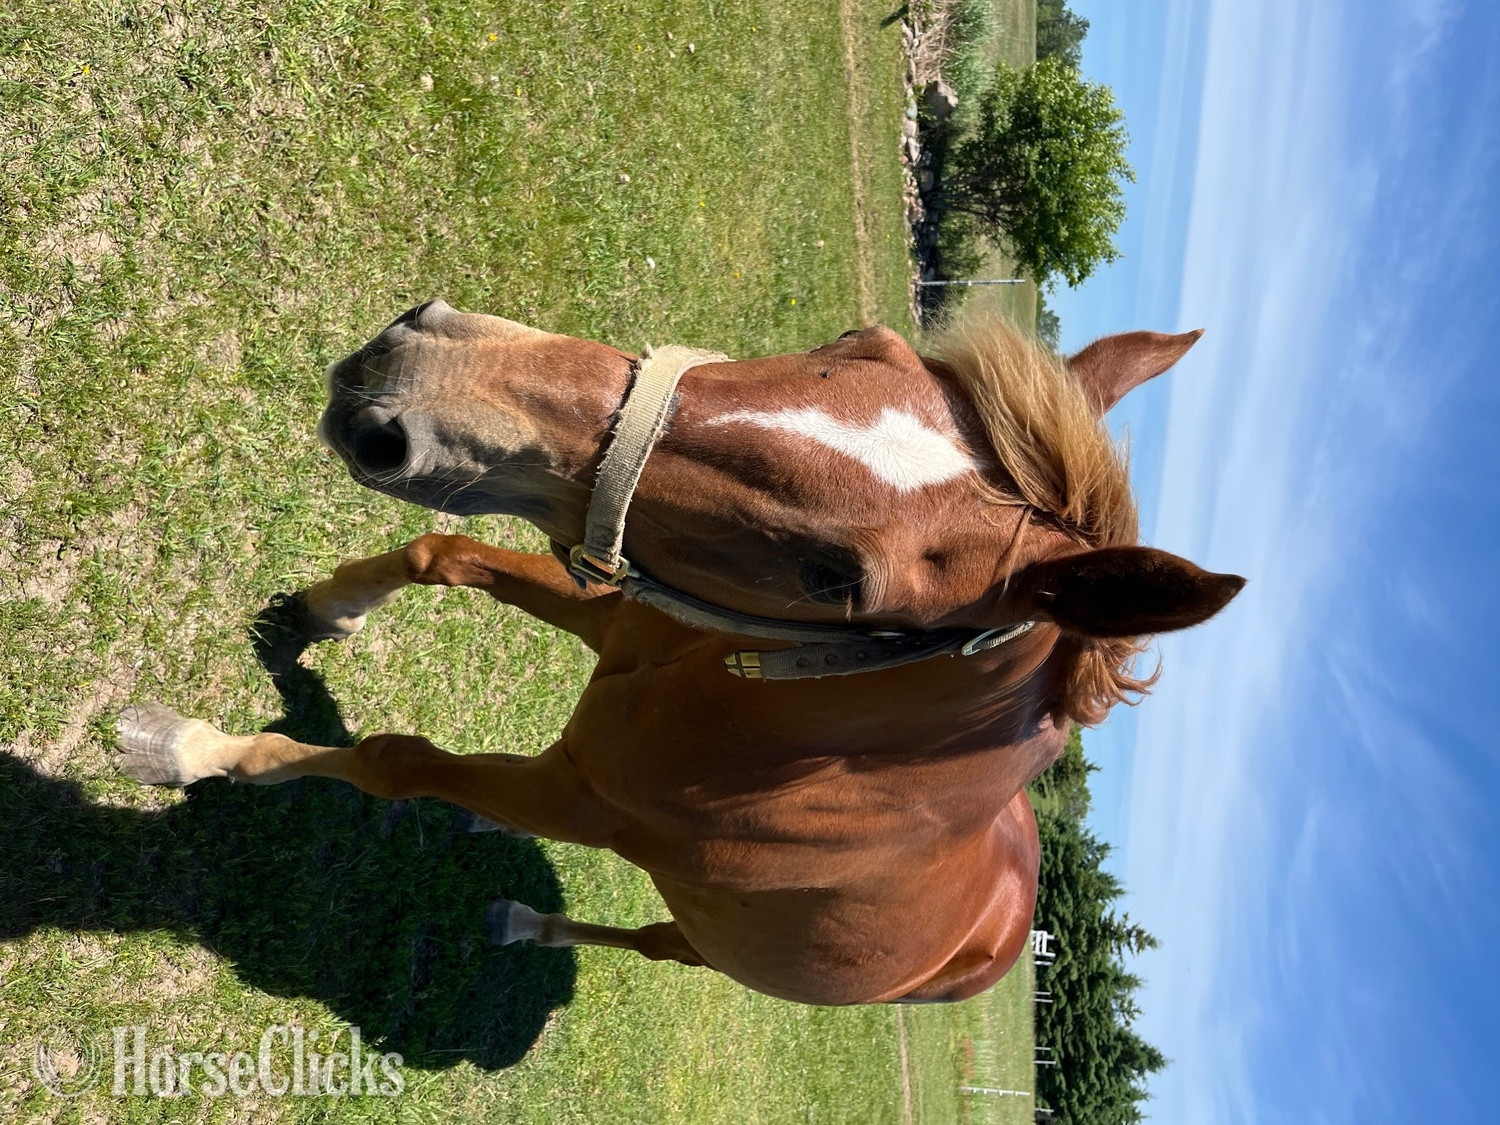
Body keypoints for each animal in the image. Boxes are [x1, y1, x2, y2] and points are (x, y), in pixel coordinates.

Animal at [116, 299, 1242, 1005]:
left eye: (834, 578)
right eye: (862, 337)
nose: (410, 374)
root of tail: (1013, 930)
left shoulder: (581, 798)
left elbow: (394, 762)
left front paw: (195, 749)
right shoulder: (613, 612)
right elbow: (443, 554)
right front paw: (322, 612)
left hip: (708, 948)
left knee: (656, 942)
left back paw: (523, 918)